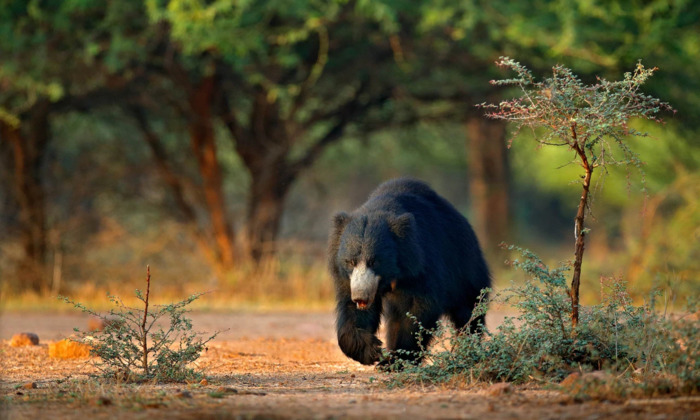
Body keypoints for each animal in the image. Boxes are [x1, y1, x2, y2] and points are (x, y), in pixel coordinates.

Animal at [330, 177, 490, 364]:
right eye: (350, 262)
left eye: (374, 262)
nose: (360, 296)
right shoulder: (349, 279)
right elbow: (351, 310)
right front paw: (371, 350)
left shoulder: (421, 265)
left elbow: (416, 311)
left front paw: (395, 360)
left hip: (465, 267)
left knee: (468, 310)